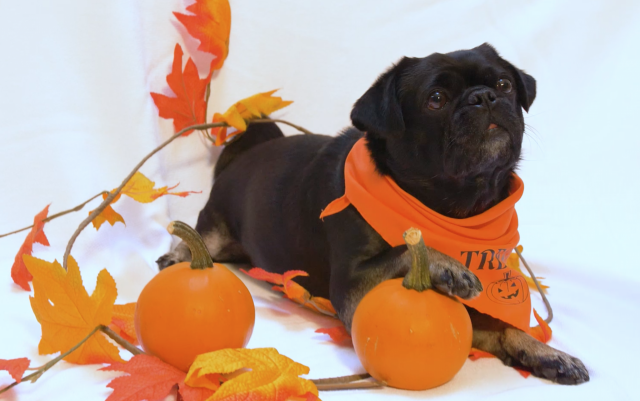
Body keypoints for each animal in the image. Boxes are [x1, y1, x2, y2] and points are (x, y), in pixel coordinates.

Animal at [160, 42, 592, 382]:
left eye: (504, 84)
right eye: (436, 99)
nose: (484, 96)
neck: (456, 210)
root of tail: (241, 153)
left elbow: (499, 326)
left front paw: (544, 352)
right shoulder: (352, 290)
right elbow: (405, 250)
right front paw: (446, 264)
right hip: (215, 227)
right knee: (197, 238)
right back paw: (178, 255)